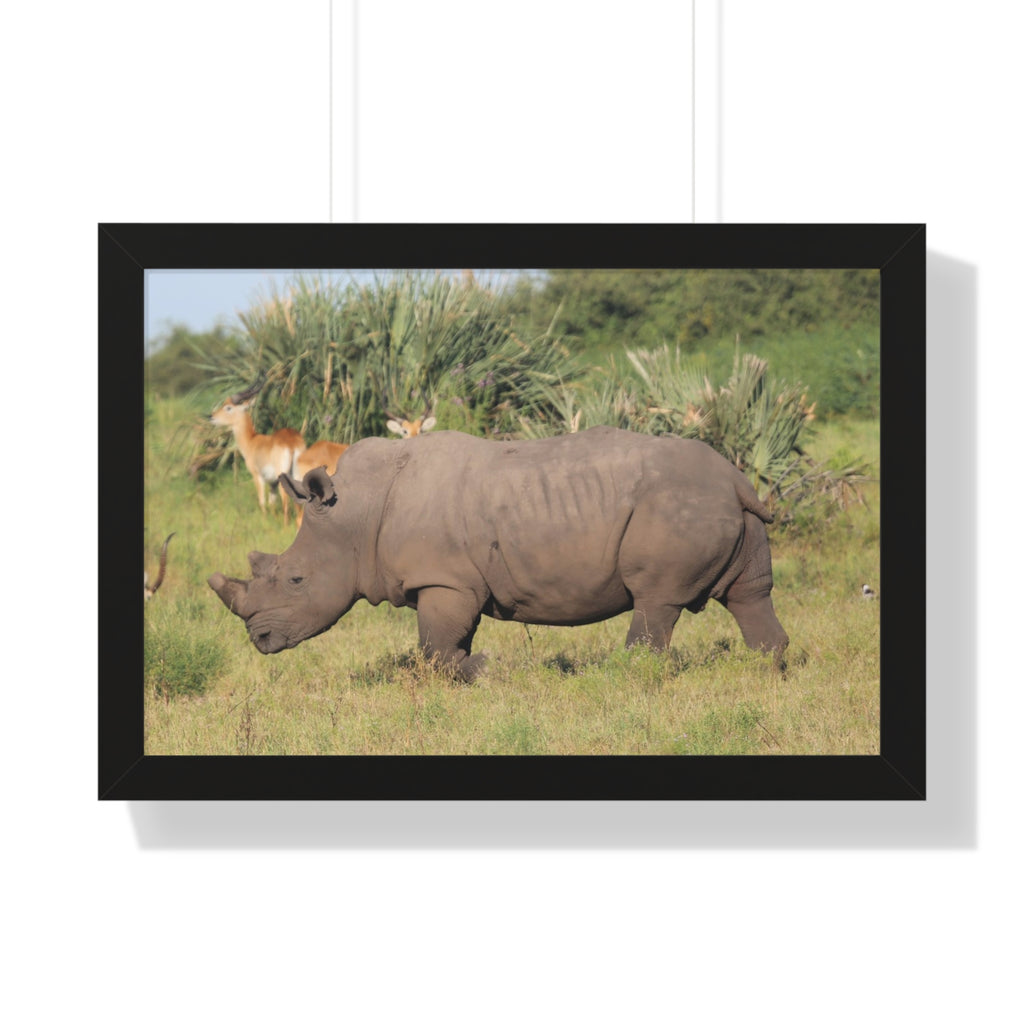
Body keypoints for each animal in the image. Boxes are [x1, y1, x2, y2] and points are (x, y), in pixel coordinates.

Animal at [208, 427, 788, 681]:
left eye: (296, 581)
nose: (259, 640)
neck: (355, 513)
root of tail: (737, 479)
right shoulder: (451, 581)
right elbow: (446, 641)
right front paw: (475, 670)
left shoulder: (444, 578)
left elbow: (434, 646)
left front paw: (485, 669)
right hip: (721, 507)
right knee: (749, 594)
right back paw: (767, 673)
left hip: (677, 505)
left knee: (656, 600)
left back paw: (630, 679)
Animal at [211, 378, 306, 526]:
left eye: (228, 407)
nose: (212, 416)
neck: (251, 441)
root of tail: (291, 444)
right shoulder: (272, 483)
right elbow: (272, 503)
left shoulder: (258, 476)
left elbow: (262, 502)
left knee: (286, 504)